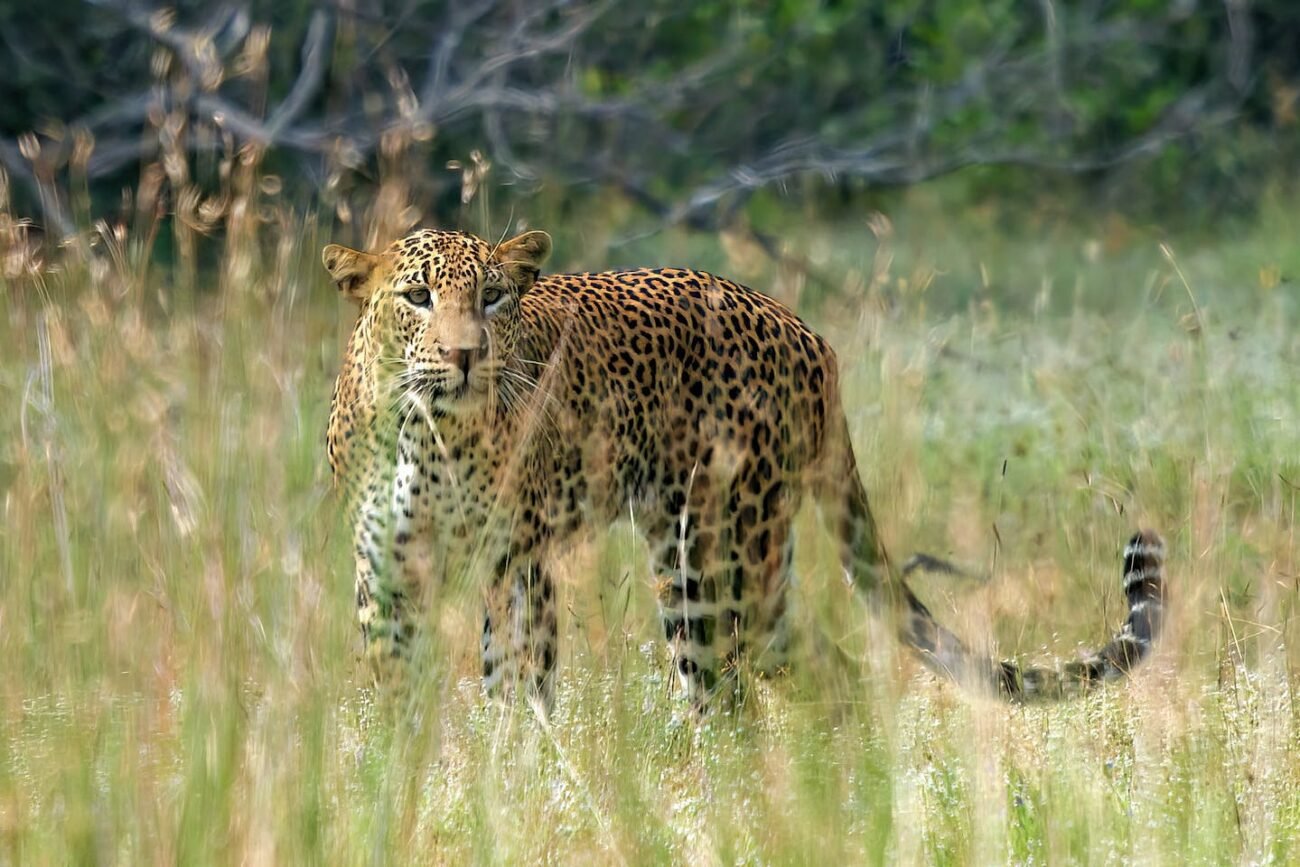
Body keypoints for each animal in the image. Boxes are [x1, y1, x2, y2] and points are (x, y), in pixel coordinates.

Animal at [322, 227, 1170, 707]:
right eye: (416, 297)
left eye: (494, 298)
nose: (466, 355)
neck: (426, 429)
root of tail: (810, 334)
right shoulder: (384, 567)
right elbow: (396, 690)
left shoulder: (518, 560)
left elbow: (515, 687)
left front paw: (510, 784)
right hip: (752, 567)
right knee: (823, 670)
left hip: (710, 555)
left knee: (723, 698)